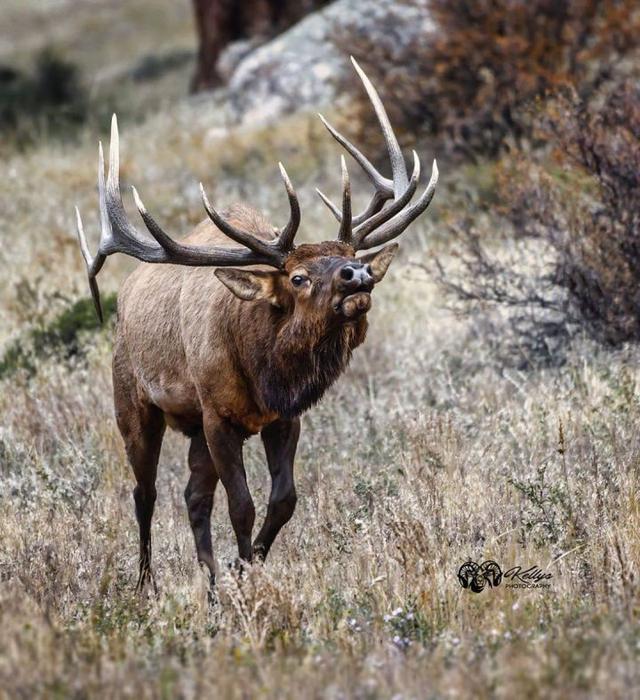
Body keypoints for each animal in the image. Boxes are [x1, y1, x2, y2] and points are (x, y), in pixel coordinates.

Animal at [74, 58, 436, 592]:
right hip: (134, 403)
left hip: (192, 429)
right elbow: (240, 506)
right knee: (145, 493)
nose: (358, 274)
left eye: (348, 256)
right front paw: (245, 575)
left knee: (192, 497)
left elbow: (283, 500)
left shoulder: (282, 417)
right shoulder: (217, 417)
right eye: (298, 277)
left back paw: (209, 586)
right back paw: (145, 584)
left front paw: (246, 566)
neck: (262, 371)